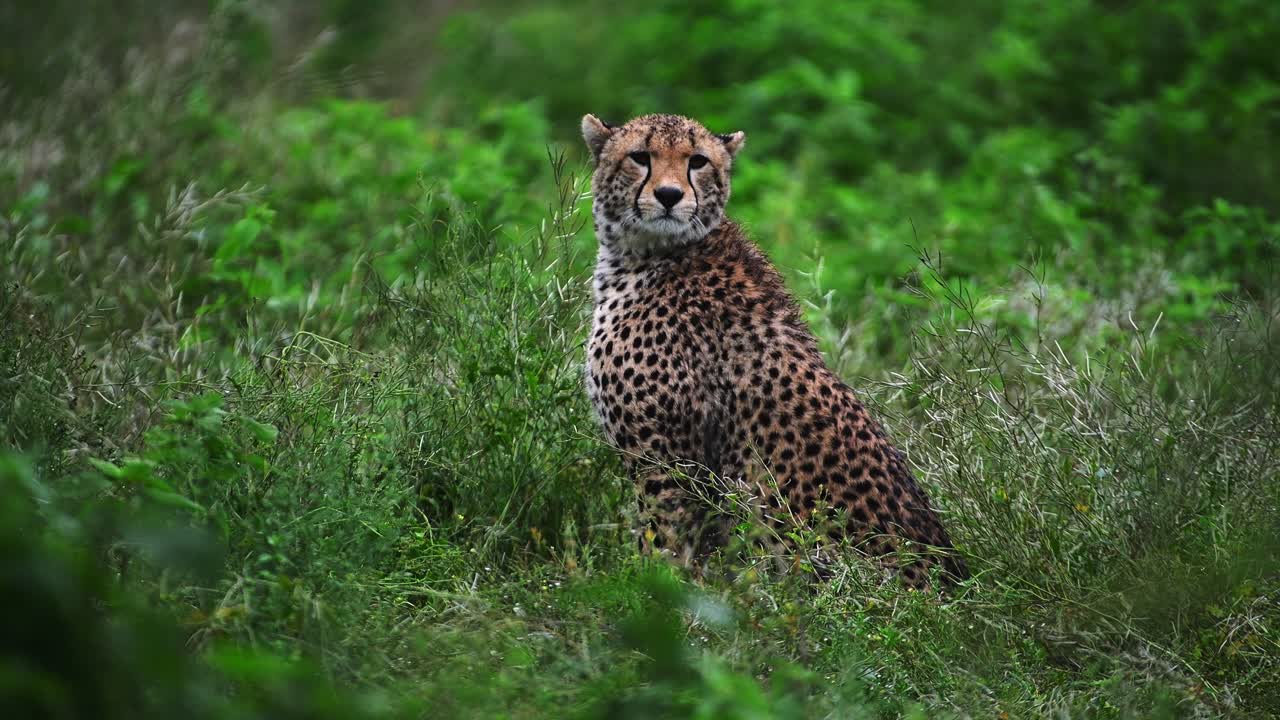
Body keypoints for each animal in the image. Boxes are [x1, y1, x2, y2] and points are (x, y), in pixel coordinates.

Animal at [581, 112, 968, 588]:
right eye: (640, 156)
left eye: (697, 161)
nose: (670, 195)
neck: (652, 255)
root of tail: (955, 581)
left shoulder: (667, 462)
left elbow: (663, 551)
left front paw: (650, 590)